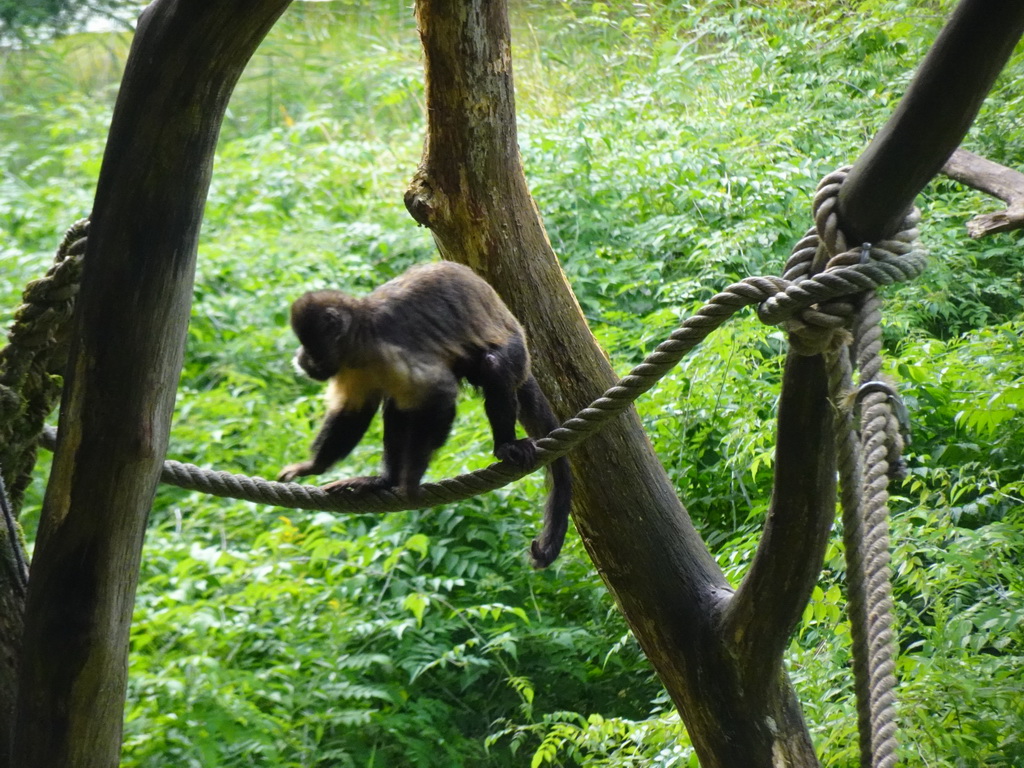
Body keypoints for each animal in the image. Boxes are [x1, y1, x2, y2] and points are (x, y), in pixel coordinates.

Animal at [276, 262, 573, 569]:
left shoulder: (389, 349)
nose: (300, 356)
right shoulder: (352, 367)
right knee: (396, 406)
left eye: (309, 346)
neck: (361, 338)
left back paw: (505, 445)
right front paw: (313, 466)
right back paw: (385, 480)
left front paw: (409, 483)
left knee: (495, 365)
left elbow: (440, 396)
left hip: (516, 352)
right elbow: (354, 413)